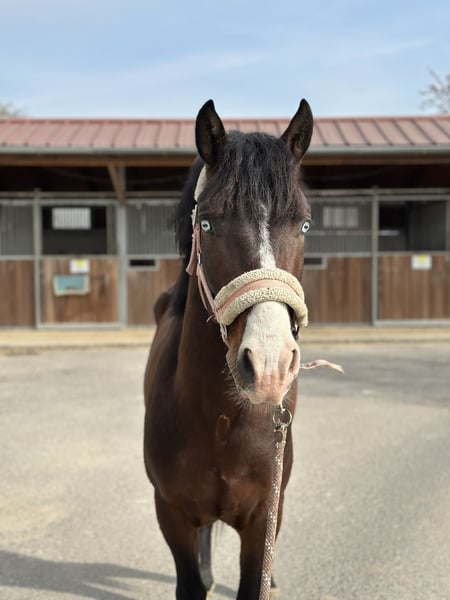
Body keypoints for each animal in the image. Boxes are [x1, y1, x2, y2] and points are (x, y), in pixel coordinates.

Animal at [143, 98, 314, 600]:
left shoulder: (261, 519)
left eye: (304, 224)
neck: (219, 419)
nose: (270, 364)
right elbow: (191, 582)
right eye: (207, 223)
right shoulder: (172, 515)